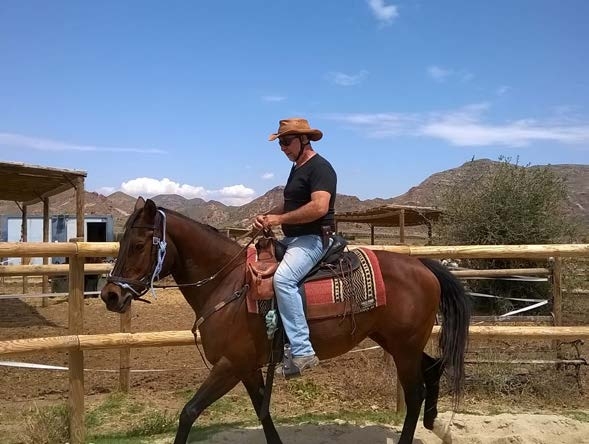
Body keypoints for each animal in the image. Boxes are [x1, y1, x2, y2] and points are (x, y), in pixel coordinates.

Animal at [101, 199, 468, 444]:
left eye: (137, 245)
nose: (110, 295)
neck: (228, 283)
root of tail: (422, 265)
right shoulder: (247, 367)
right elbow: (262, 412)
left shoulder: (230, 363)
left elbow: (189, 412)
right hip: (395, 341)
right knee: (432, 368)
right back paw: (436, 424)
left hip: (404, 347)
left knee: (415, 392)